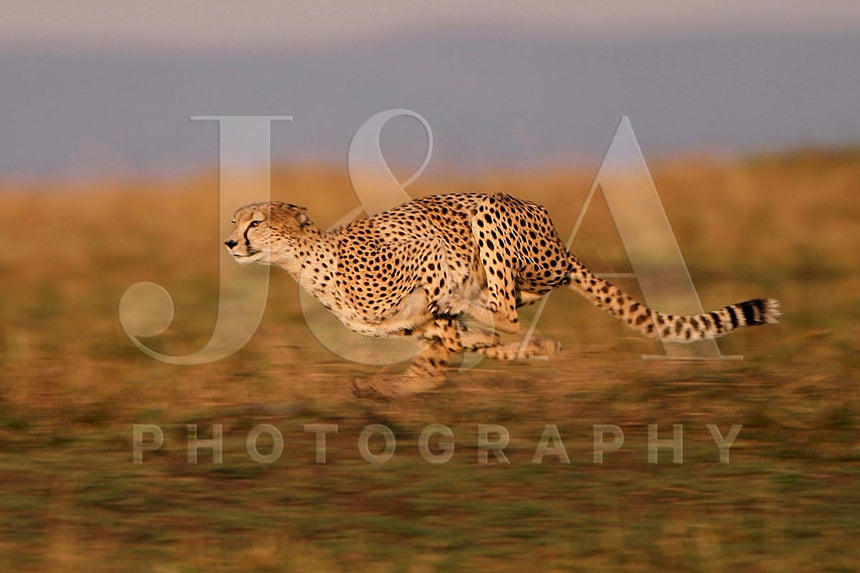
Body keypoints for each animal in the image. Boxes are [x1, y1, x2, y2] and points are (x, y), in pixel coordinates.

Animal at [225, 192, 780, 399]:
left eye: (256, 222)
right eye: (235, 221)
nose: (230, 243)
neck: (307, 264)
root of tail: (561, 243)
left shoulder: (430, 254)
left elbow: (446, 342)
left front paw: (396, 386)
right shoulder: (416, 325)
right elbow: (446, 347)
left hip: (491, 213)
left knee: (507, 310)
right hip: (527, 272)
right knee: (509, 311)